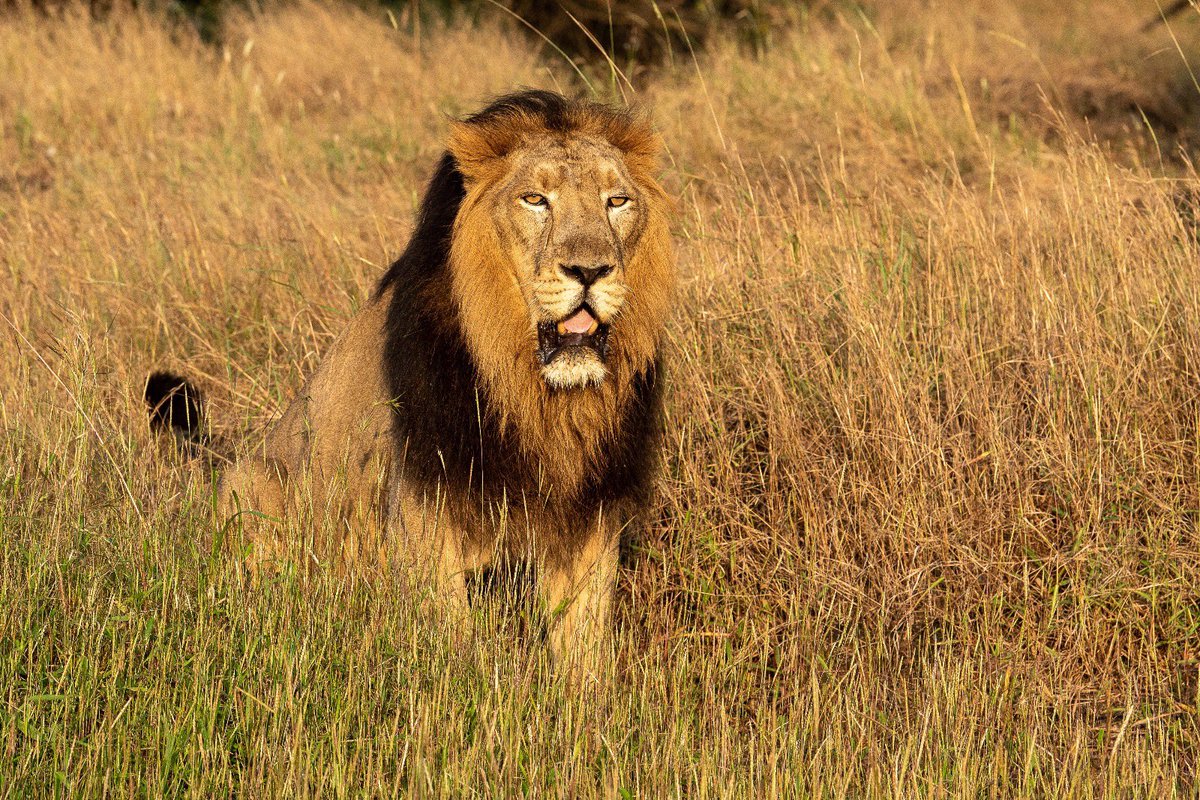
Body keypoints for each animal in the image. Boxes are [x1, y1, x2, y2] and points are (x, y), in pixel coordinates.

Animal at [147, 90, 676, 667]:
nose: (590, 271)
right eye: (535, 200)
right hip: (254, 487)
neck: (537, 396)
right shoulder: (423, 516)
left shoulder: (590, 518)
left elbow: (583, 654)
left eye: (617, 201)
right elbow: (452, 646)